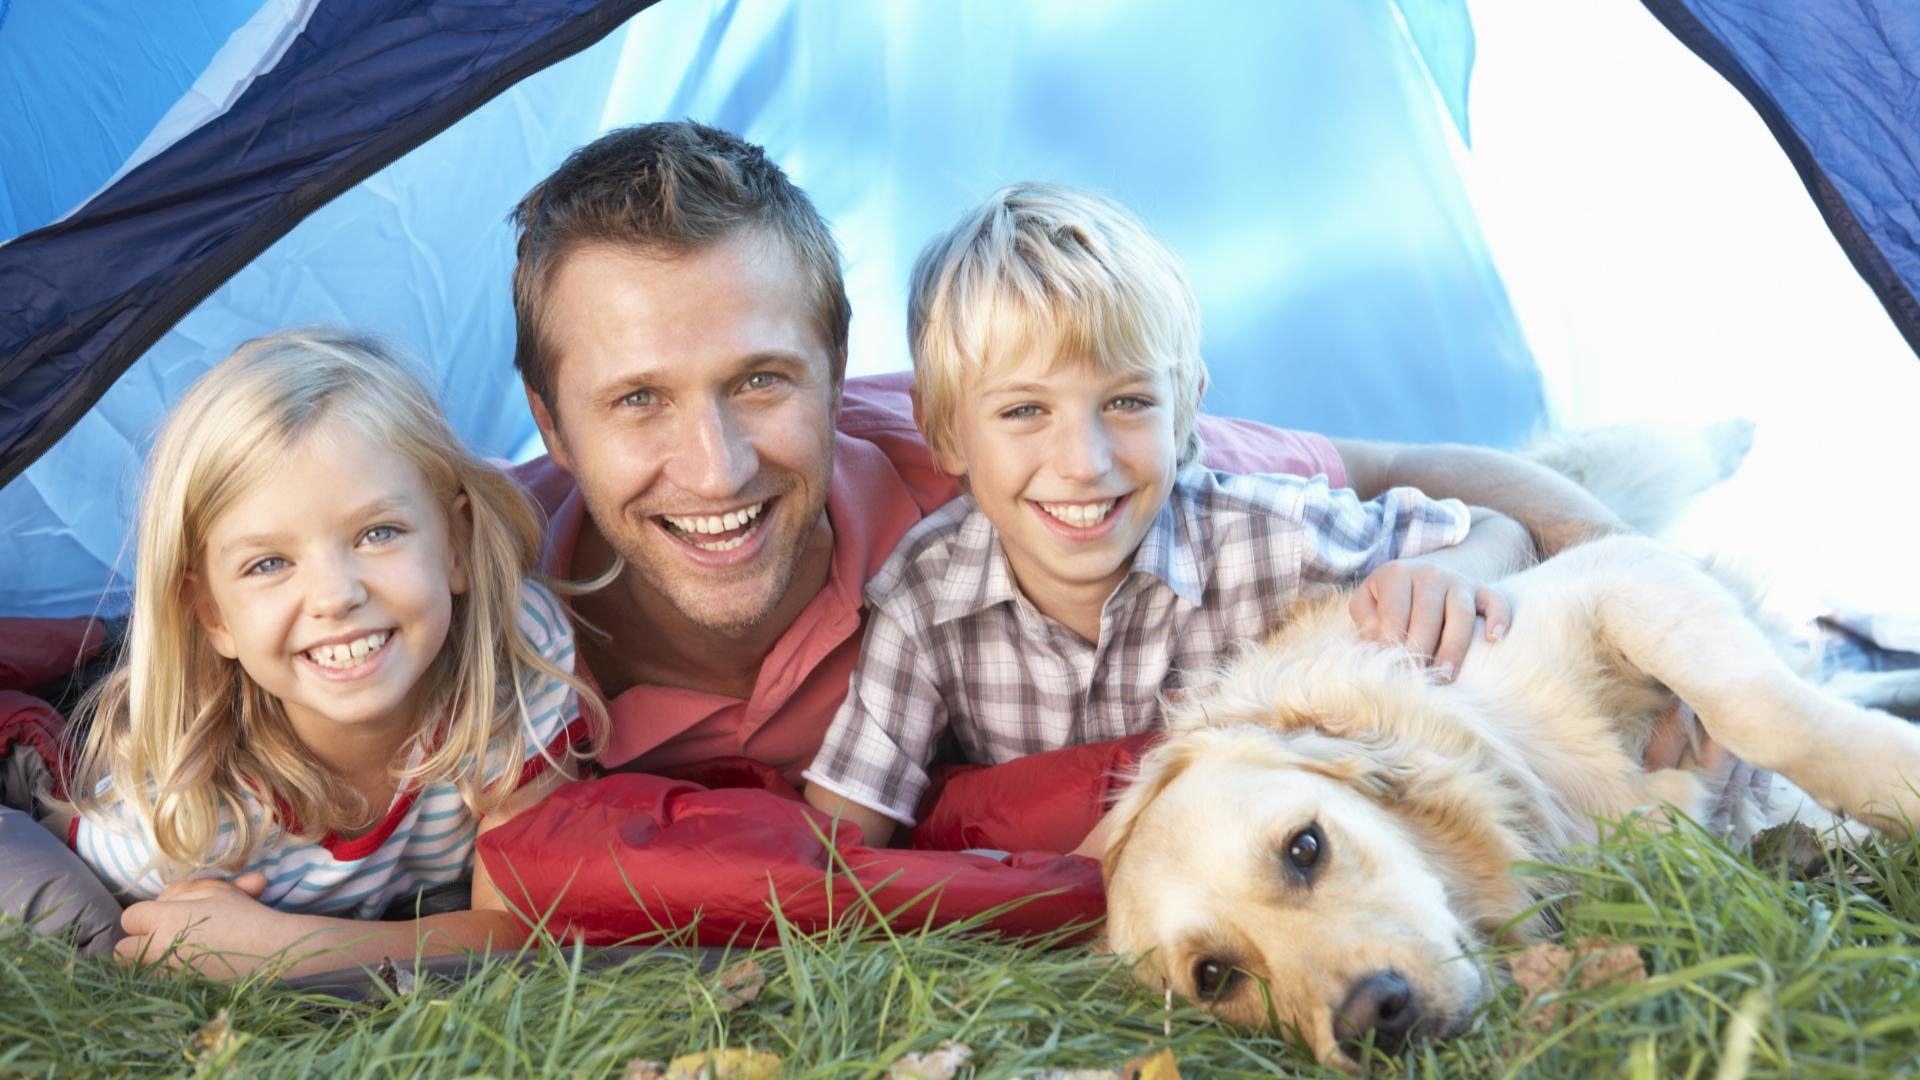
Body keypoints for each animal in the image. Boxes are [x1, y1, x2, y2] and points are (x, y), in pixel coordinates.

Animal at [1098, 420, 1920, 1060]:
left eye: (1305, 848)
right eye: (1214, 977)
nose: (1373, 1020)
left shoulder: (1615, 576)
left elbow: (1756, 713)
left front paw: (1894, 779)